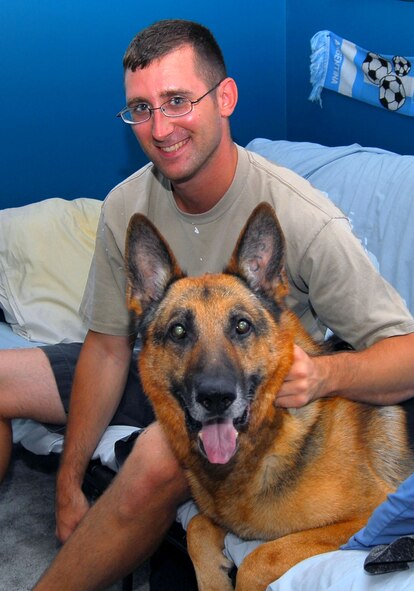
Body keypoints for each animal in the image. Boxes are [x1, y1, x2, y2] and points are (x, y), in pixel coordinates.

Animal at [125, 204, 414, 591]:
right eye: (179, 331)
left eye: (242, 326)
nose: (216, 397)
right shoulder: (219, 519)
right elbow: (197, 528)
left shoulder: (364, 519)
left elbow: (261, 558)